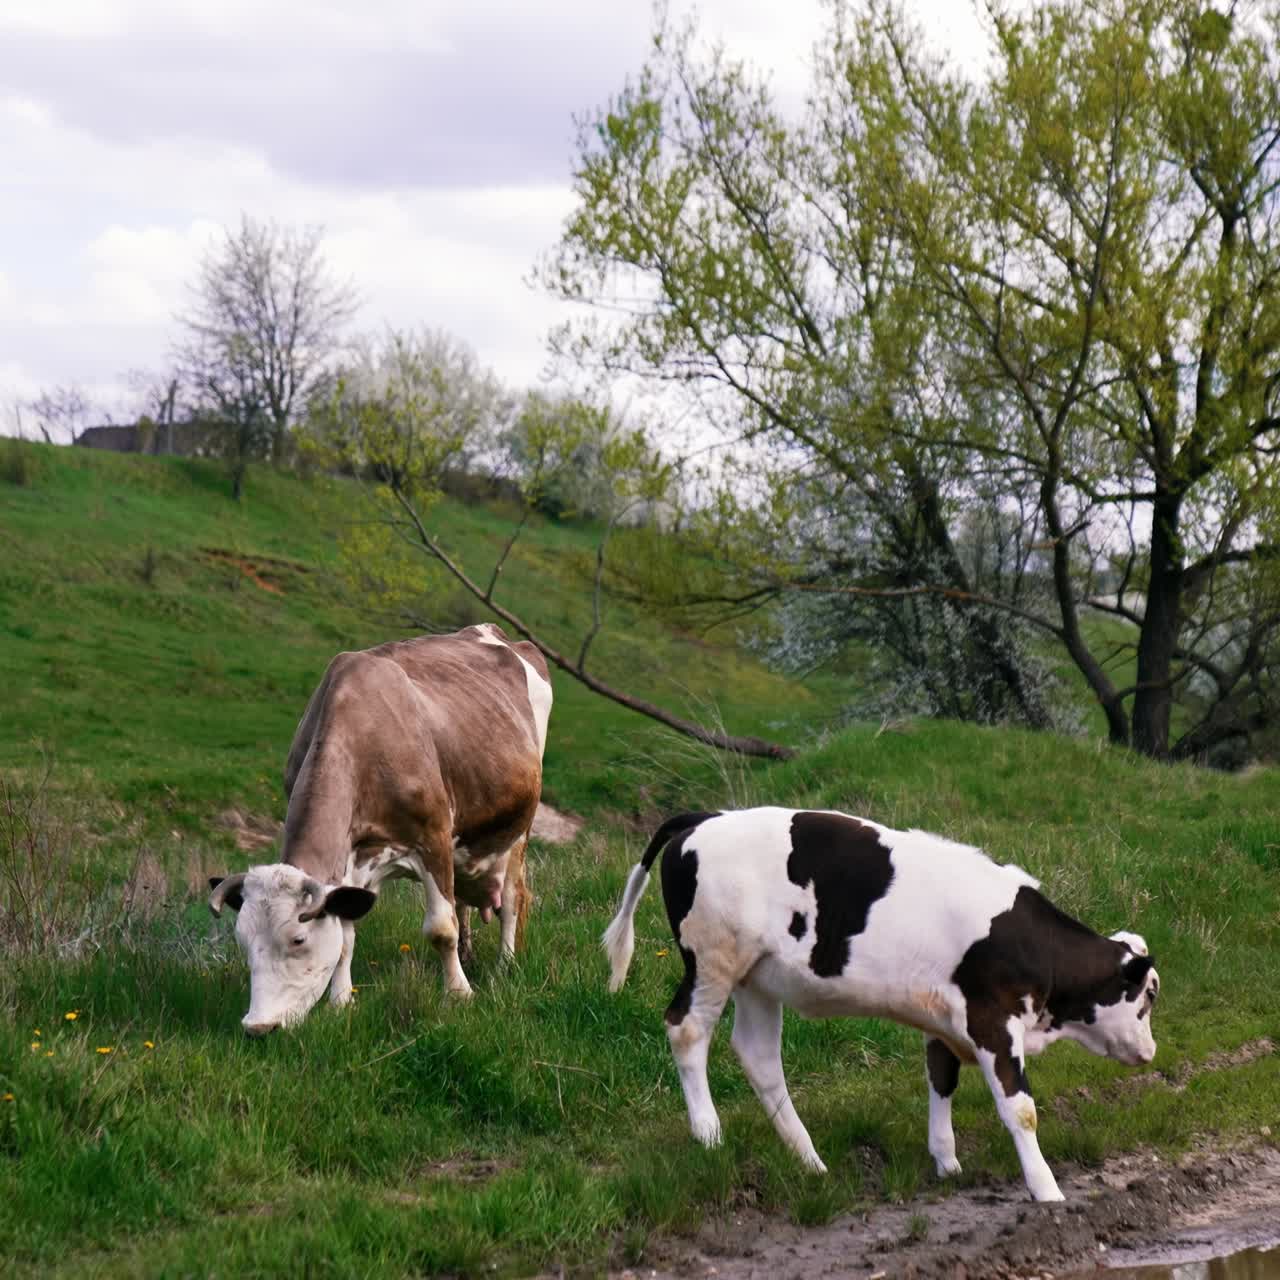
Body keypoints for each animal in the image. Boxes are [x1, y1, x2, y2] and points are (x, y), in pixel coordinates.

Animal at [209, 623, 552, 1035]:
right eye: (243, 942)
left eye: (297, 939)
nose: (259, 1026)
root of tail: (491, 630)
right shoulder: (351, 860)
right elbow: (345, 935)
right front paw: (341, 1002)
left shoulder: (434, 837)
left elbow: (441, 928)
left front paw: (459, 995)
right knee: (466, 901)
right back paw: (470, 956)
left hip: (518, 829)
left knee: (514, 900)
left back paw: (504, 967)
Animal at [602, 806, 1159, 1203]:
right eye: (1149, 995)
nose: (1151, 1052)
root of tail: (706, 816)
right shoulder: (992, 1020)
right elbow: (1020, 1110)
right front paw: (1047, 1191)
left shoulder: (944, 1019)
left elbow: (941, 1079)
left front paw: (946, 1161)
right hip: (714, 960)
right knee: (688, 1030)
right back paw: (709, 1133)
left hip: (758, 978)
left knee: (759, 1056)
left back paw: (809, 1160)